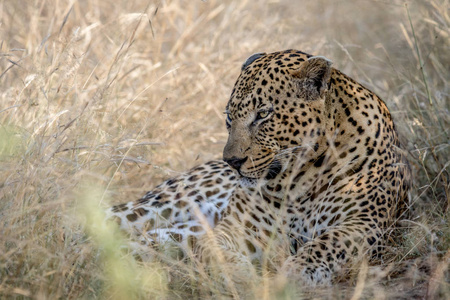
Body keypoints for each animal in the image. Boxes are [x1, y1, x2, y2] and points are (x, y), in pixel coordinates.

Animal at [107, 49, 410, 288]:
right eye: (229, 117)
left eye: (263, 114)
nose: (232, 161)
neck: (300, 181)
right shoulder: (239, 229)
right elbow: (213, 249)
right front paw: (239, 275)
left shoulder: (364, 224)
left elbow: (326, 244)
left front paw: (295, 273)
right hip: (161, 206)